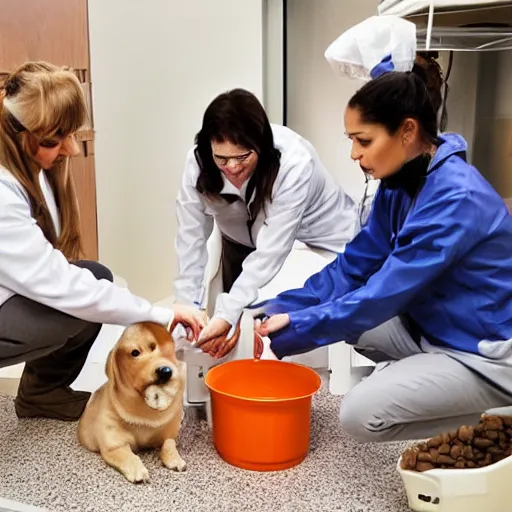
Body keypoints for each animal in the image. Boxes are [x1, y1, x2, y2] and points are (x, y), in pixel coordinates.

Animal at [77, 322, 185, 482]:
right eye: (135, 353)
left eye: (168, 351)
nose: (165, 371)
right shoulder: (114, 446)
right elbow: (129, 456)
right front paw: (137, 470)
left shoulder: (168, 435)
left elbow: (169, 445)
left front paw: (175, 459)